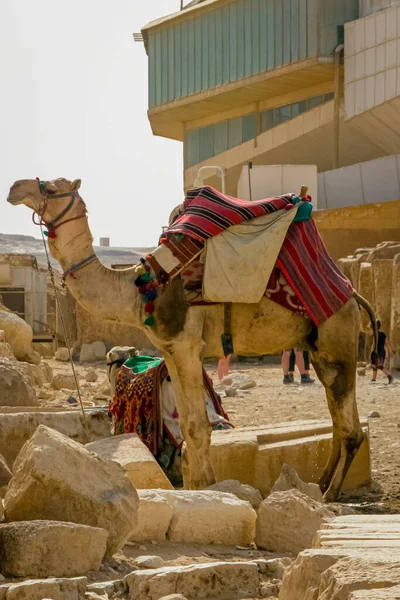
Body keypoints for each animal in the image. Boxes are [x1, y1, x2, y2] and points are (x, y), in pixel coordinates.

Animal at [5, 177, 376, 502]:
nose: (14, 188)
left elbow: (198, 427)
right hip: (320, 350)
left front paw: (209, 488)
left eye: (51, 187)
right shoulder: (170, 349)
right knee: (338, 420)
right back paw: (321, 483)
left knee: (349, 427)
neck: (137, 289)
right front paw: (199, 487)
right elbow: (186, 424)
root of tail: (353, 295)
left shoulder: (185, 344)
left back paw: (330, 494)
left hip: (337, 336)